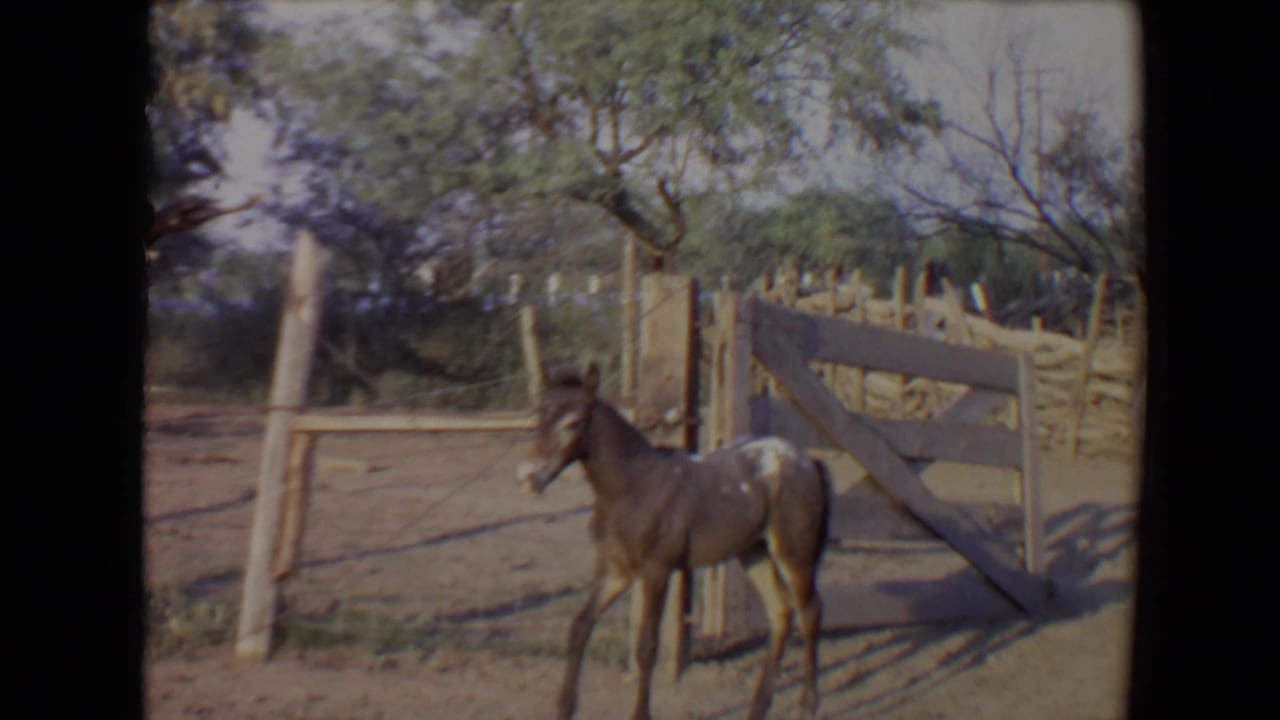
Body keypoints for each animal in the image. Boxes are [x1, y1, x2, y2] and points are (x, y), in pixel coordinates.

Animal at [516, 361, 832, 720]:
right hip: (754, 552)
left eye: (574, 422)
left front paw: (640, 714)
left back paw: (808, 704)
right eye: (538, 419)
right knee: (780, 611)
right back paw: (758, 707)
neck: (634, 487)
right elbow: (581, 625)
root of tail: (806, 460)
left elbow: (647, 645)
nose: (527, 478)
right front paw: (565, 707)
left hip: (794, 551)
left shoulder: (657, 570)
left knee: (810, 610)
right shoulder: (615, 571)